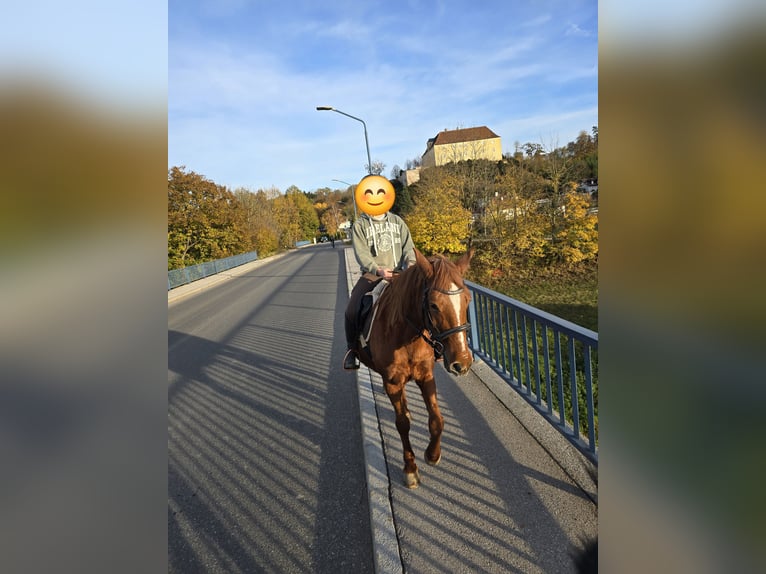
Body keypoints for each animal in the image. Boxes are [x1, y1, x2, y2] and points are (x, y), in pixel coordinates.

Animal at [354, 247, 475, 488]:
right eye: (434, 305)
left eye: (467, 300)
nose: (462, 363)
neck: (404, 333)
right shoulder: (392, 382)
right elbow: (402, 424)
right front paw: (410, 468)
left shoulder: (425, 376)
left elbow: (437, 419)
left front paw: (432, 454)